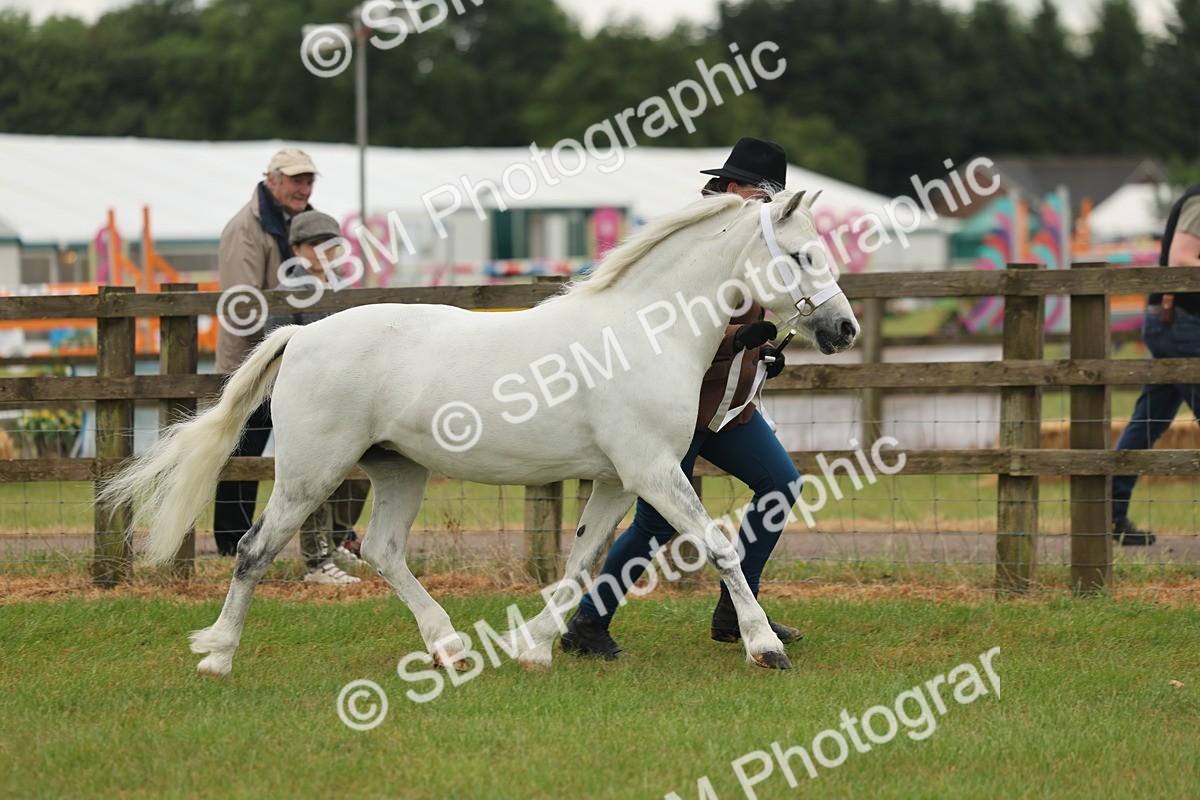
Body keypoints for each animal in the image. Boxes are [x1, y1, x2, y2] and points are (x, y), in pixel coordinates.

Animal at [99, 189, 858, 676]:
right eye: (803, 255)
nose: (844, 329)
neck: (644, 332)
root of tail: (302, 335)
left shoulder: (620, 480)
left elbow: (581, 562)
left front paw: (536, 647)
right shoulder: (652, 471)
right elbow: (719, 548)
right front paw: (765, 647)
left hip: (397, 468)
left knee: (383, 549)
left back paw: (449, 647)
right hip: (311, 472)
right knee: (255, 550)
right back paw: (219, 655)